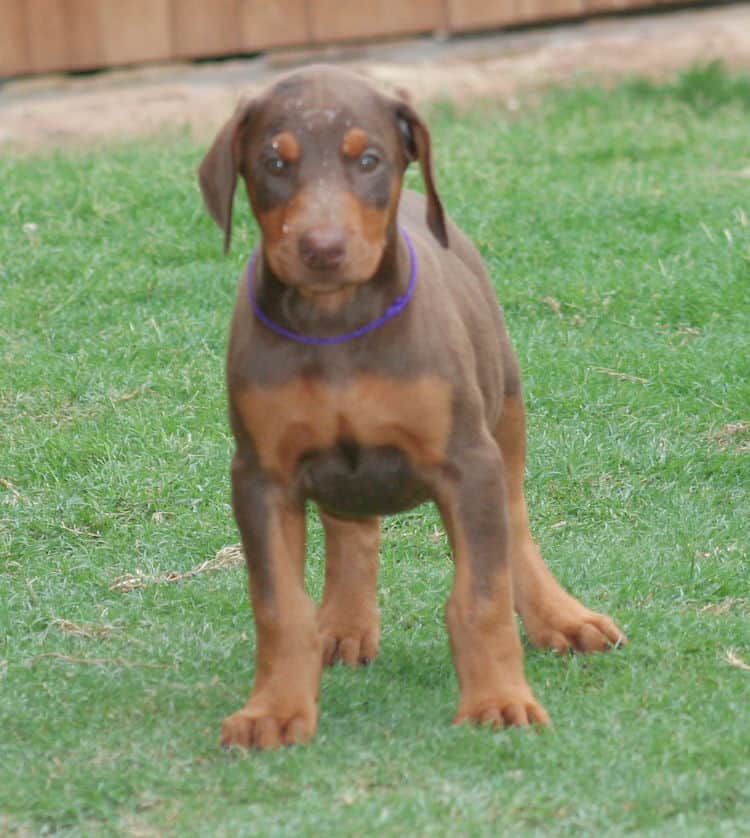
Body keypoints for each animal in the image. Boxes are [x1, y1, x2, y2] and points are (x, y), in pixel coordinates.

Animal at [200, 64, 628, 748]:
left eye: (369, 159)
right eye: (274, 161)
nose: (322, 248)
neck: (335, 324)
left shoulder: (466, 462)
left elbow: (481, 596)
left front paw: (498, 699)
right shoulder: (260, 476)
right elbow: (279, 606)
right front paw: (274, 708)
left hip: (505, 414)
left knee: (515, 528)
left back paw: (560, 617)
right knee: (352, 529)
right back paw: (344, 624)